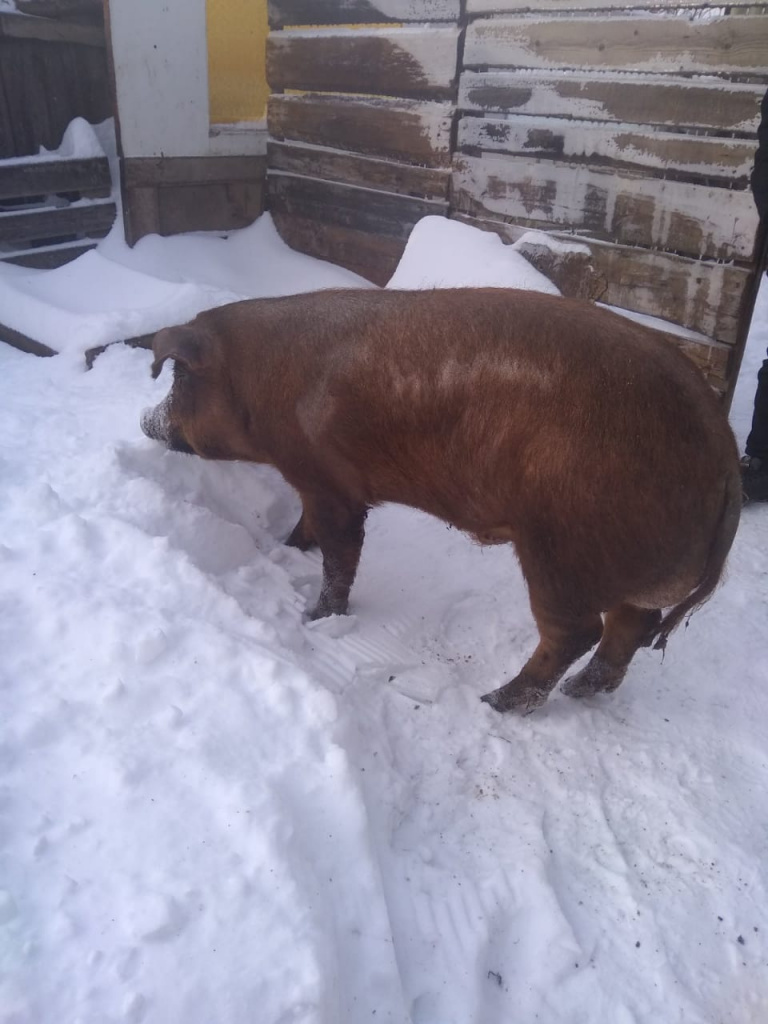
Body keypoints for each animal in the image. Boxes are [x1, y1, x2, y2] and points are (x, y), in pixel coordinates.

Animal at [141, 286, 741, 712]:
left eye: (177, 379)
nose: (146, 421)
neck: (260, 381)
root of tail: (725, 449)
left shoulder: (331, 481)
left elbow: (340, 555)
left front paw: (317, 618)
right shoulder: (313, 482)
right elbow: (306, 527)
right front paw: (283, 550)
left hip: (561, 549)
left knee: (576, 631)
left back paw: (495, 703)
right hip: (620, 565)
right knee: (631, 627)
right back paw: (581, 693)